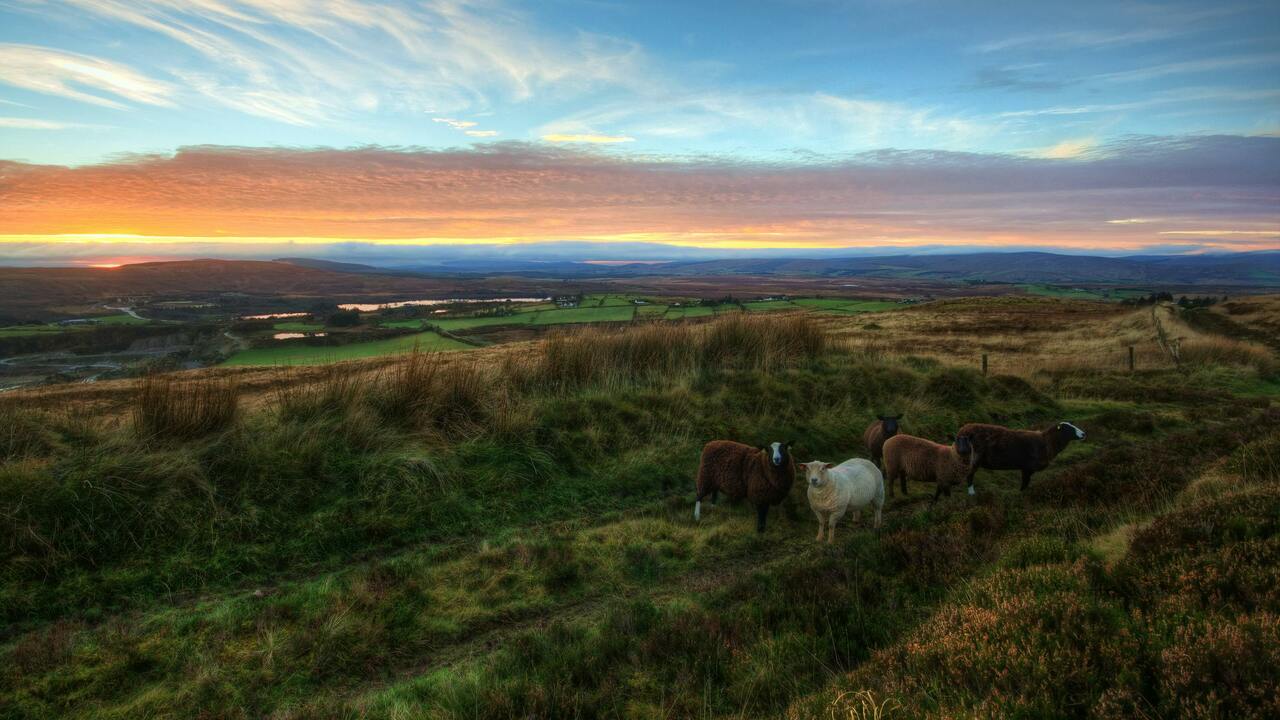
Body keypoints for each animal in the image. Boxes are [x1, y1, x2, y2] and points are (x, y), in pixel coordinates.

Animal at [957, 417, 1085, 489]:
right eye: (1068, 429)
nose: (1084, 434)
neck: (1047, 441)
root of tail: (963, 429)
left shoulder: (1027, 468)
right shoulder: (1027, 468)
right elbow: (1024, 485)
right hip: (972, 458)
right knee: (969, 476)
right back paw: (972, 495)